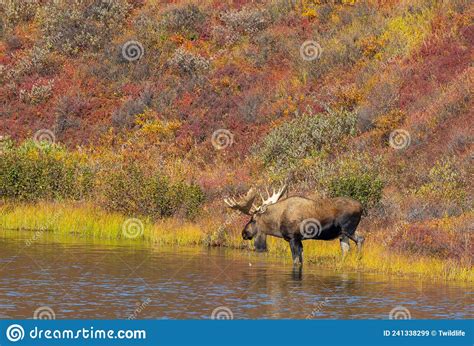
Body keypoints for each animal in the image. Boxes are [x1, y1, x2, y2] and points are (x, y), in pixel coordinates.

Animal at [224, 184, 364, 264]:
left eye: (253, 219)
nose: (243, 233)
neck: (277, 224)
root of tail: (362, 207)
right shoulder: (299, 240)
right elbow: (300, 260)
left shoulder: (293, 238)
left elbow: (296, 261)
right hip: (342, 234)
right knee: (346, 248)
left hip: (349, 229)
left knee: (360, 239)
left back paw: (359, 259)